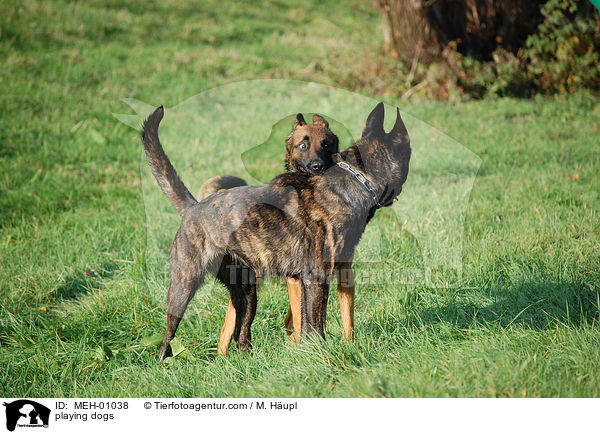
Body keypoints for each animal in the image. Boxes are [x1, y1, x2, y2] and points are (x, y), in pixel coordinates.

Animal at [143, 102, 410, 360]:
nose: (317, 165)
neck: (354, 181)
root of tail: (193, 207)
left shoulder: (337, 274)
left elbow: (330, 323)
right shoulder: (315, 279)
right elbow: (315, 326)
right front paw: (320, 356)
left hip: (247, 293)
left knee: (241, 335)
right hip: (183, 287)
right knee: (169, 336)